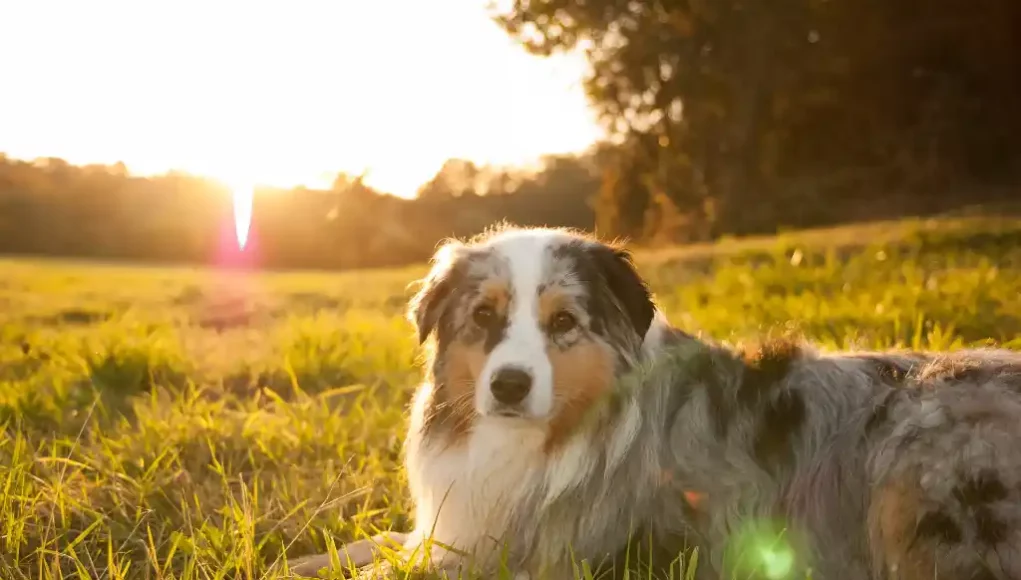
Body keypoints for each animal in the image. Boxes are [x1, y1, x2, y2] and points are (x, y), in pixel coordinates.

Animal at [289, 224, 1021, 575]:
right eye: (484, 316)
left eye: (563, 322)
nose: (509, 385)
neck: (542, 441)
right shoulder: (456, 528)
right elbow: (371, 545)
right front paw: (299, 558)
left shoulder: (558, 558)